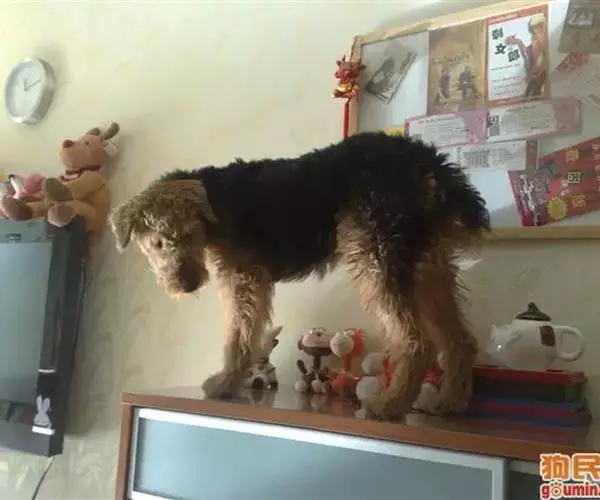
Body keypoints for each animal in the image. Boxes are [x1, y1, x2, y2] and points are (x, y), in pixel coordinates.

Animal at [109, 131, 489, 420]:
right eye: (158, 243)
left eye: (188, 234)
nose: (186, 284)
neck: (212, 206)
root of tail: (426, 159)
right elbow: (244, 335)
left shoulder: (243, 278)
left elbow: (238, 336)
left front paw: (225, 384)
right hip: (426, 264)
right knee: (460, 341)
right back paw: (448, 402)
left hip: (376, 258)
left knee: (416, 340)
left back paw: (390, 404)